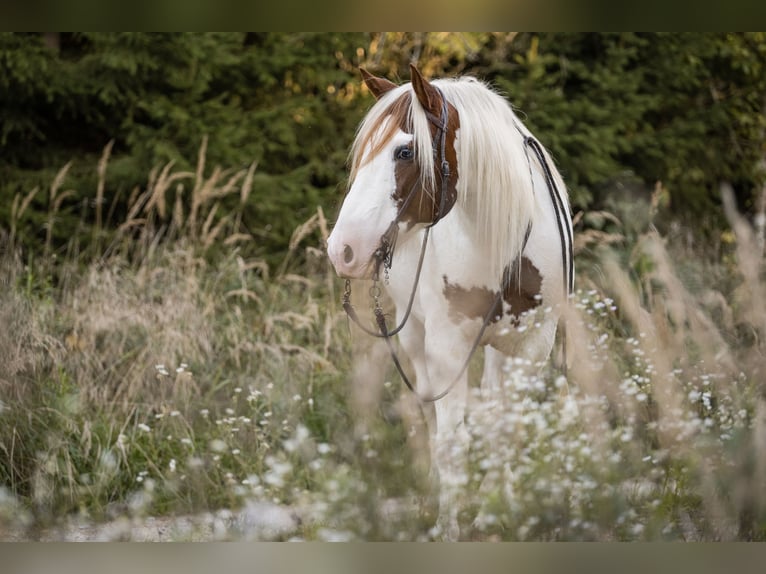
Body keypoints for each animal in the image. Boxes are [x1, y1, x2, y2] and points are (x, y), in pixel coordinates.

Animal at [326, 64, 574, 539]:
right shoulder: (446, 348)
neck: (501, 245)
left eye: (405, 152)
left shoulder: (533, 345)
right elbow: (452, 441)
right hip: (415, 337)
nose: (342, 249)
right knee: (428, 413)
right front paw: (448, 527)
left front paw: (506, 508)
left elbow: (509, 428)